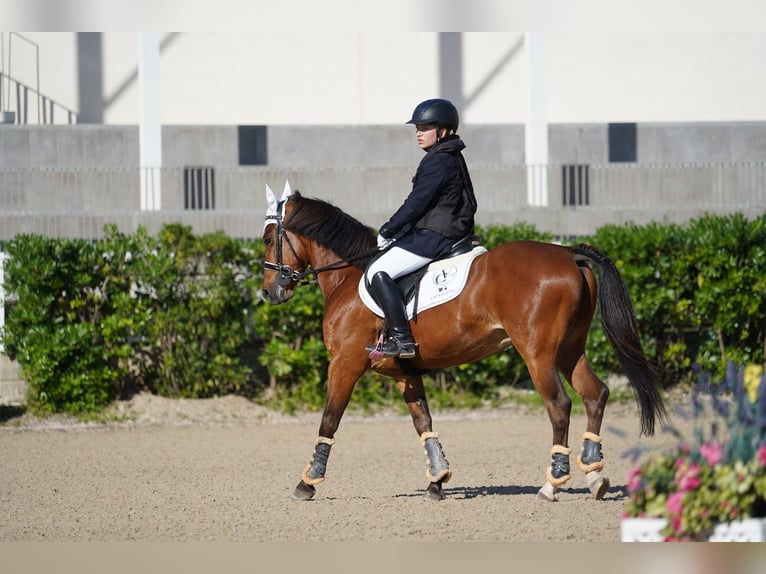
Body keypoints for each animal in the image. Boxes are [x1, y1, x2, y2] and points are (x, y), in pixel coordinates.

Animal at [260, 182, 667, 502]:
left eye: (267, 238)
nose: (269, 291)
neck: (348, 277)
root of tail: (569, 252)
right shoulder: (404, 371)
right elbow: (423, 421)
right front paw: (438, 480)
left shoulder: (345, 363)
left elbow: (330, 419)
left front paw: (308, 481)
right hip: (570, 349)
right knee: (595, 394)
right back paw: (595, 476)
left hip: (537, 353)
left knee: (560, 405)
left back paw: (552, 484)